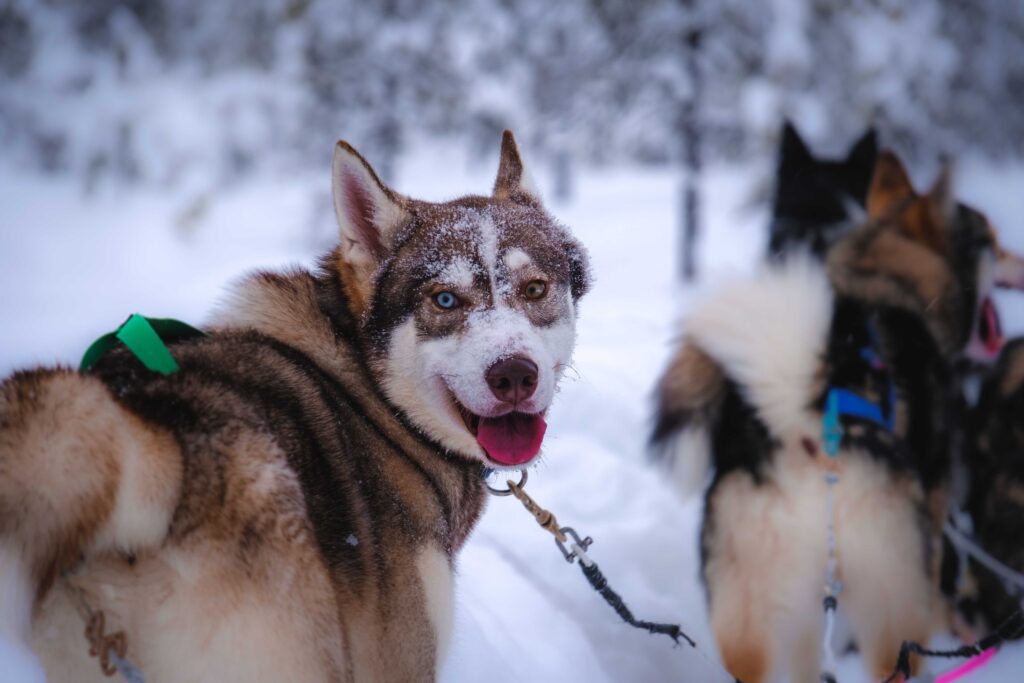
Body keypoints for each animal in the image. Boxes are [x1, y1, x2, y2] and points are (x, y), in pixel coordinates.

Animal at [651, 150, 1019, 683]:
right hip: (895, 599)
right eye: (991, 238)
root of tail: (805, 425)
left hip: (752, 610)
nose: (1020, 260)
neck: (884, 272)